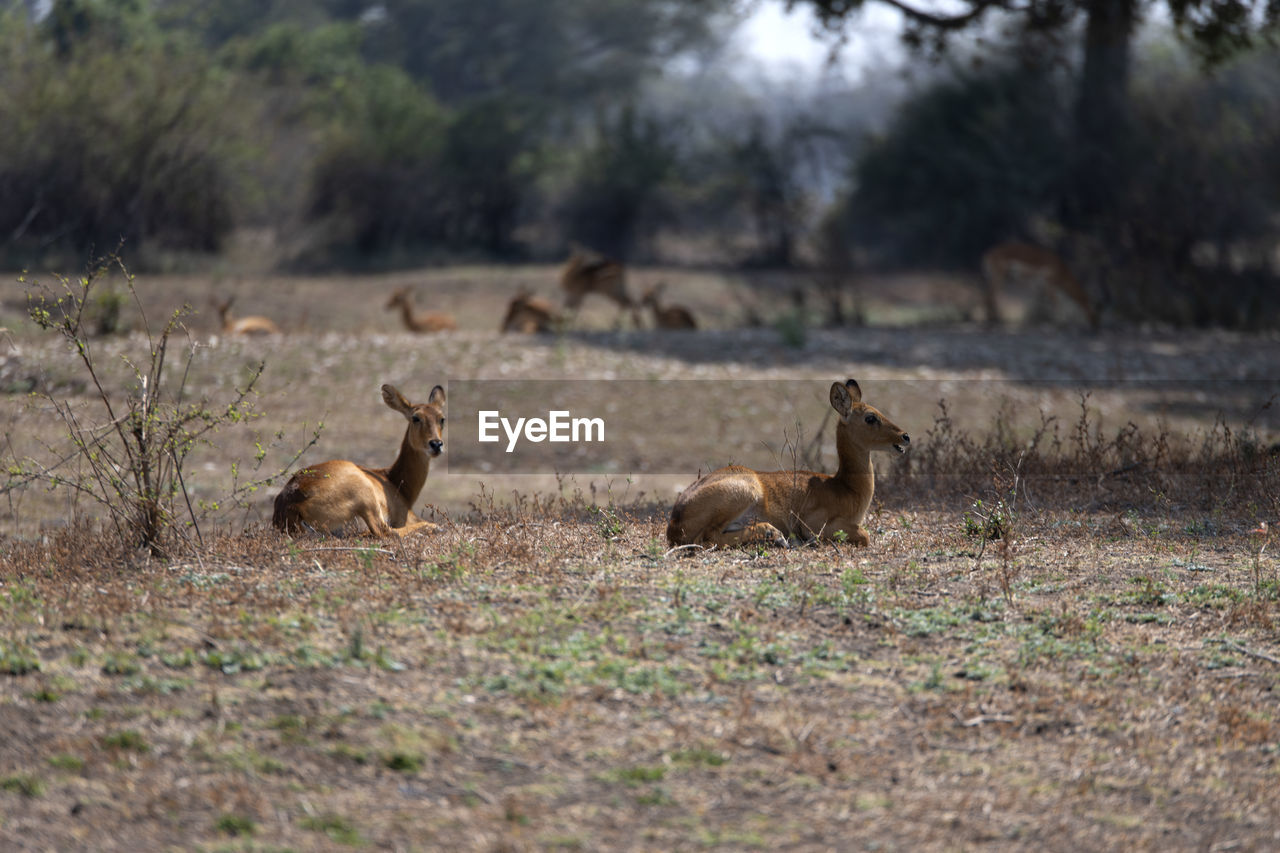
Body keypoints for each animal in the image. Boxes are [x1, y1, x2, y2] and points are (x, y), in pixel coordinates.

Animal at [272, 384, 448, 537]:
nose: (436, 444)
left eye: (442, 419)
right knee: (384, 531)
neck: (393, 481)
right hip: (366, 496)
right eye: (416, 417)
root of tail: (292, 506)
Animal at [670, 376, 911, 548]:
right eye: (870, 417)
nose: (905, 436)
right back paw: (776, 535)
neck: (846, 488)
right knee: (707, 538)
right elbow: (864, 535)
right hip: (744, 493)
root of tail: (676, 518)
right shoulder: (815, 524)